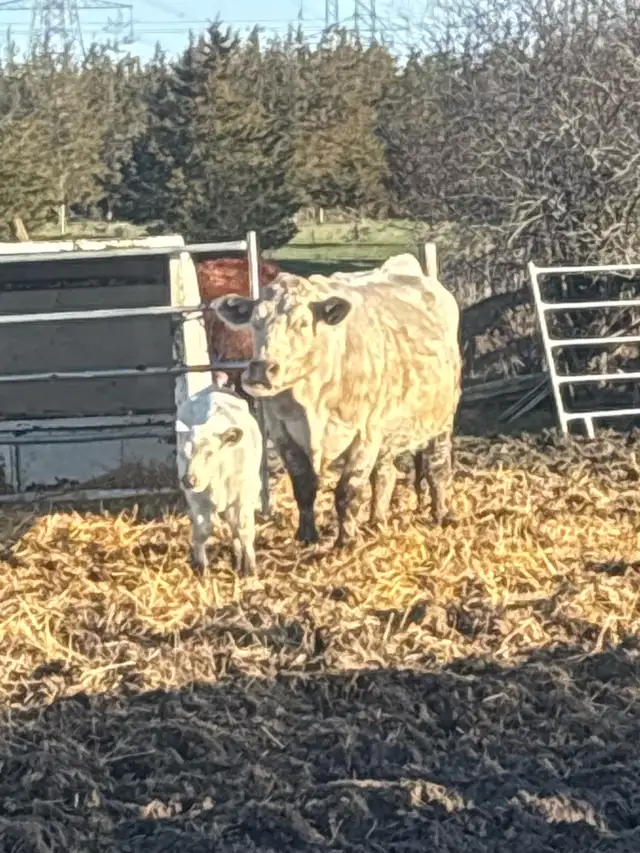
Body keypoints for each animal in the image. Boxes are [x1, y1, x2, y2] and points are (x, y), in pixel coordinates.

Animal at [175, 375, 263, 576]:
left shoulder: (246, 494)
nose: (188, 480)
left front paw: (250, 570)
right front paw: (202, 567)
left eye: (210, 453)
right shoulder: (197, 499)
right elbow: (202, 529)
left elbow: (244, 530)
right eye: (183, 453)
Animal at [213, 253, 462, 549]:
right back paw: (377, 521)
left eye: (302, 323)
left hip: (442, 418)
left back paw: (442, 513)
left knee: (438, 467)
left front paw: (347, 540)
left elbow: (348, 491)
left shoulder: (365, 434)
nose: (262, 369)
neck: (311, 402)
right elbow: (304, 486)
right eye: (255, 322)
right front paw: (306, 536)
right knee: (385, 473)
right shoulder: (282, 434)